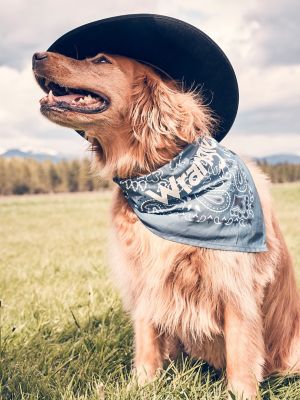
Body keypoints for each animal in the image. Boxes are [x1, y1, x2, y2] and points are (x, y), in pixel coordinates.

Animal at [32, 51, 300, 398]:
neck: (164, 181)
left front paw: (241, 392)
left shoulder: (235, 285)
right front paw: (142, 385)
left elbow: (241, 355)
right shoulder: (145, 278)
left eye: (101, 59)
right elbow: (146, 343)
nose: (37, 55)